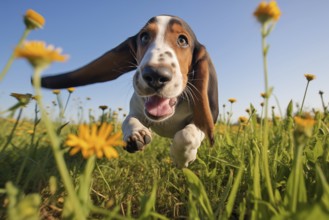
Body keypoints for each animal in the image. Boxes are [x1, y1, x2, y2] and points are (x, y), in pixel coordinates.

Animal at [42, 14, 219, 168]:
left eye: (182, 40)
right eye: (144, 37)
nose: (155, 75)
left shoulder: (206, 119)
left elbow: (186, 134)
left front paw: (181, 159)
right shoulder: (136, 110)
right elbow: (129, 120)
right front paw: (135, 134)